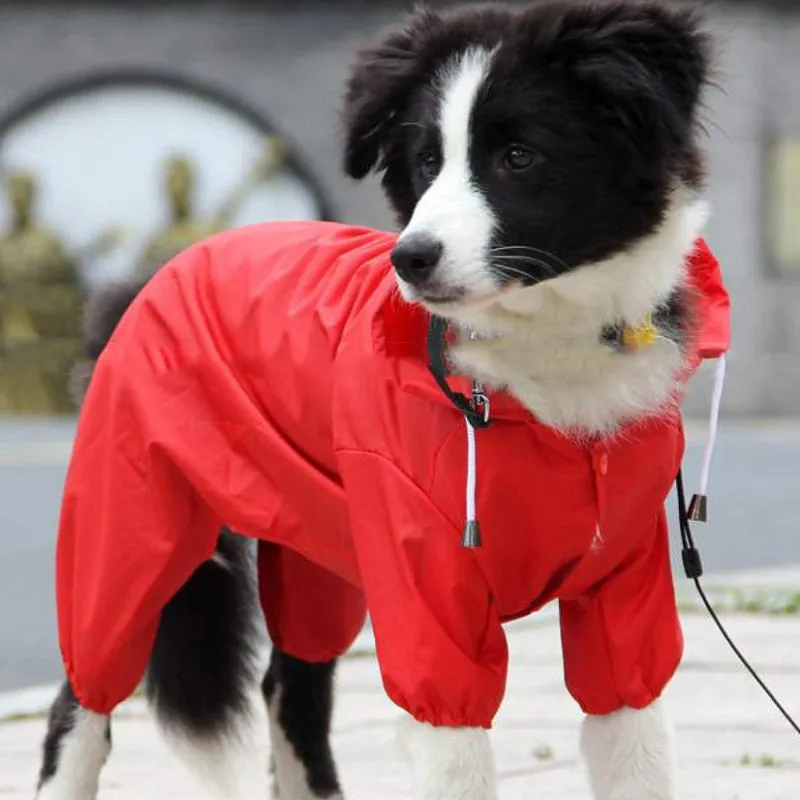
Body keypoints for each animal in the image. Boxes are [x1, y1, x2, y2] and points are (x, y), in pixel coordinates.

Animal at [36, 1, 712, 800]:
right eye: (425, 163)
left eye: (519, 157)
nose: (410, 259)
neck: (542, 356)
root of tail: (152, 276)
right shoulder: (424, 585)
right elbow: (455, 754)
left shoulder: (624, 582)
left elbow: (633, 737)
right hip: (131, 518)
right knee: (85, 689)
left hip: (318, 540)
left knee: (291, 681)